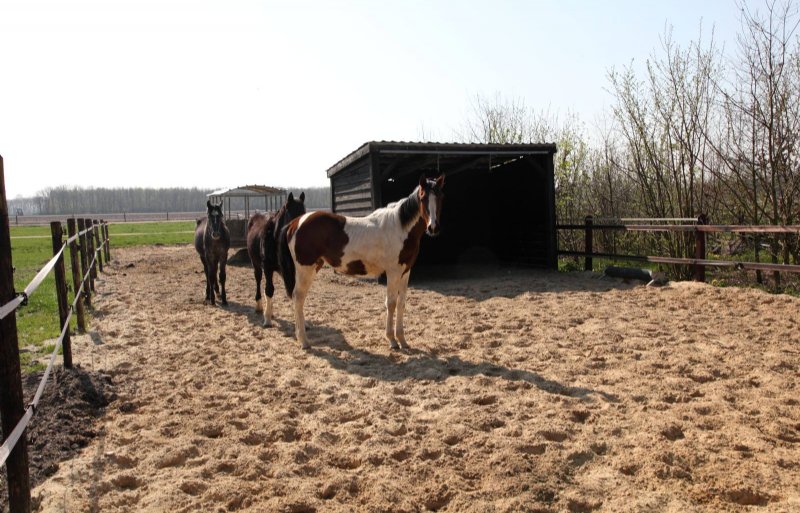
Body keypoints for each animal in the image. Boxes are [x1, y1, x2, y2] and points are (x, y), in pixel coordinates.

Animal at [246, 191, 306, 327]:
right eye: (292, 215)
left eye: (304, 213)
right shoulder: (267, 268)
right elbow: (269, 290)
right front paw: (267, 319)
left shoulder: (291, 270)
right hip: (256, 264)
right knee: (258, 280)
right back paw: (260, 307)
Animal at [279, 174, 445, 349]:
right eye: (423, 197)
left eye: (441, 196)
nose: (433, 227)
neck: (400, 228)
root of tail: (295, 223)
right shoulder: (393, 272)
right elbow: (391, 303)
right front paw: (392, 340)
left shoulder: (405, 271)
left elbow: (401, 303)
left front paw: (402, 340)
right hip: (305, 269)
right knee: (298, 297)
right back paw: (304, 341)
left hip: (313, 267)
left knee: (299, 298)